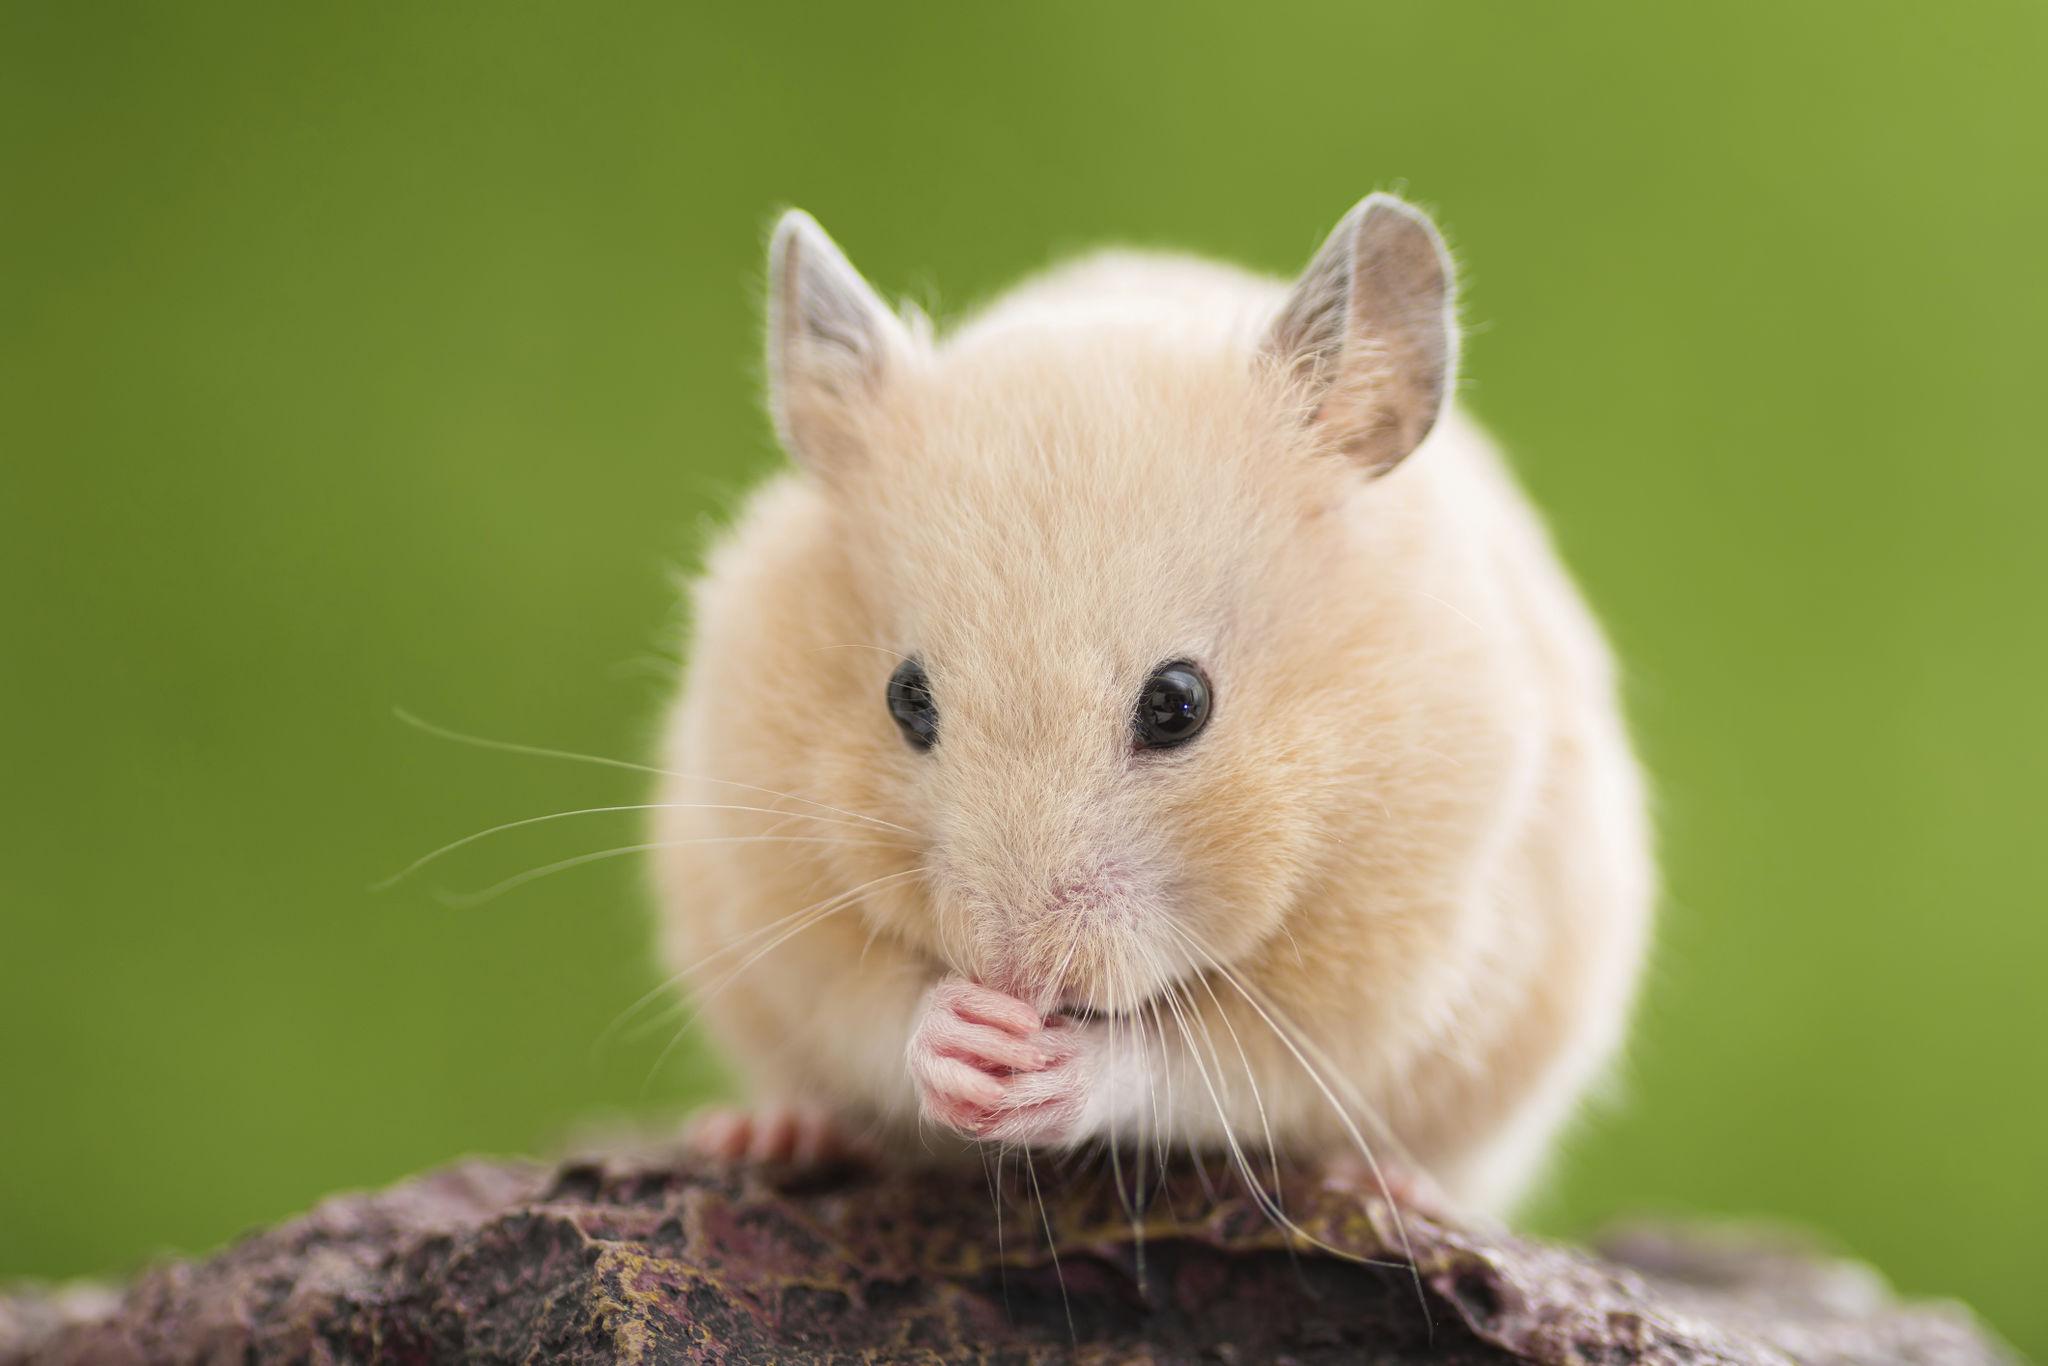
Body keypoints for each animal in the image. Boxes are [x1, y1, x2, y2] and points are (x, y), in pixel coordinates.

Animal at [653, 192, 1653, 1217]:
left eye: (1179, 704)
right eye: (906, 699)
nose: (1012, 973)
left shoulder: (1379, 967)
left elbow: (1183, 1061)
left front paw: (1047, 1065)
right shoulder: (769, 893)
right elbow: (871, 1011)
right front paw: (966, 1034)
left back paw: (1393, 1190)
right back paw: (763, 1134)